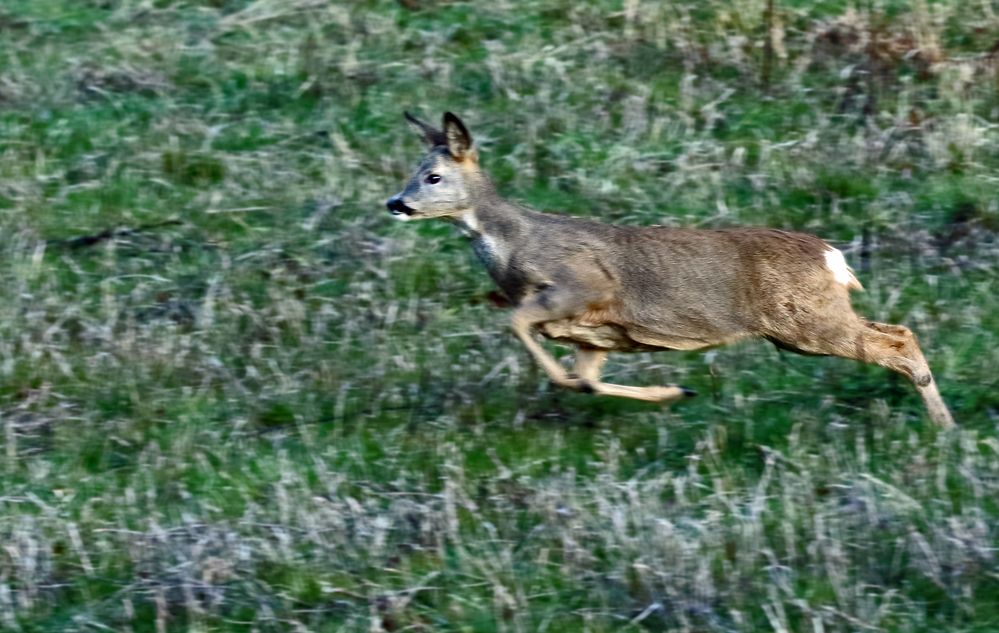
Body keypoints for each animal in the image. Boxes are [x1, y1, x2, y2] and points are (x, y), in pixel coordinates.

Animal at [386, 111, 956, 428]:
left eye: (433, 176)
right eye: (415, 171)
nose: (396, 203)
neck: (514, 249)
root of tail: (831, 256)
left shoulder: (580, 287)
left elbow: (519, 325)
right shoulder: (593, 334)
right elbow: (585, 380)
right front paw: (674, 393)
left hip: (805, 322)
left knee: (896, 341)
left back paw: (943, 427)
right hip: (808, 322)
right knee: (896, 330)